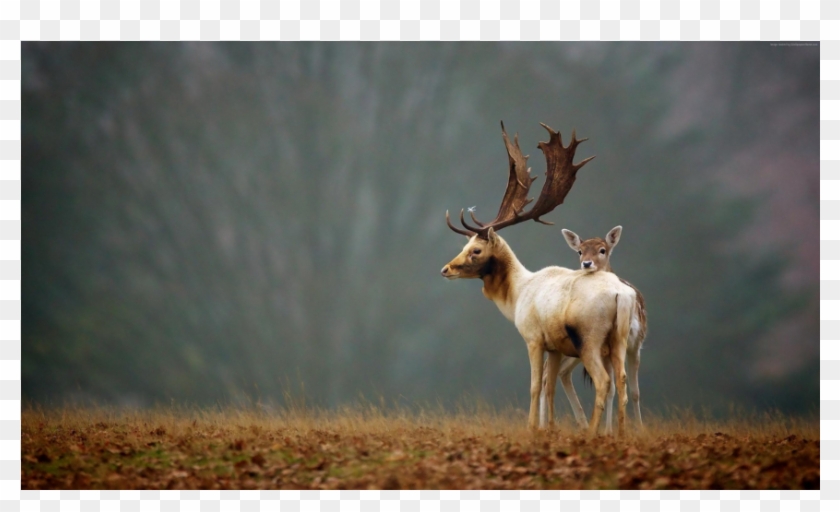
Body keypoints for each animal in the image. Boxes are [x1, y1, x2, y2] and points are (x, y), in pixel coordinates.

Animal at [440, 122, 636, 437]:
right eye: (465, 245)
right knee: (622, 381)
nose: (446, 269)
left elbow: (534, 385)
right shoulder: (554, 346)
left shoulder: (532, 337)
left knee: (604, 381)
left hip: (590, 338)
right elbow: (549, 386)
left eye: (476, 250)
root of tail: (622, 295)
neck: (517, 295)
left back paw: (592, 433)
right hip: (619, 338)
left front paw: (532, 427)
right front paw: (550, 428)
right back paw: (619, 434)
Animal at [539, 227, 648, 433]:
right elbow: (613, 388)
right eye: (579, 251)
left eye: (602, 250)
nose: (586, 263)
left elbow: (635, 391)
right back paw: (544, 426)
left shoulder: (636, 343)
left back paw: (579, 424)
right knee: (548, 374)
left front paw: (637, 428)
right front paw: (609, 431)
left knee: (559, 373)